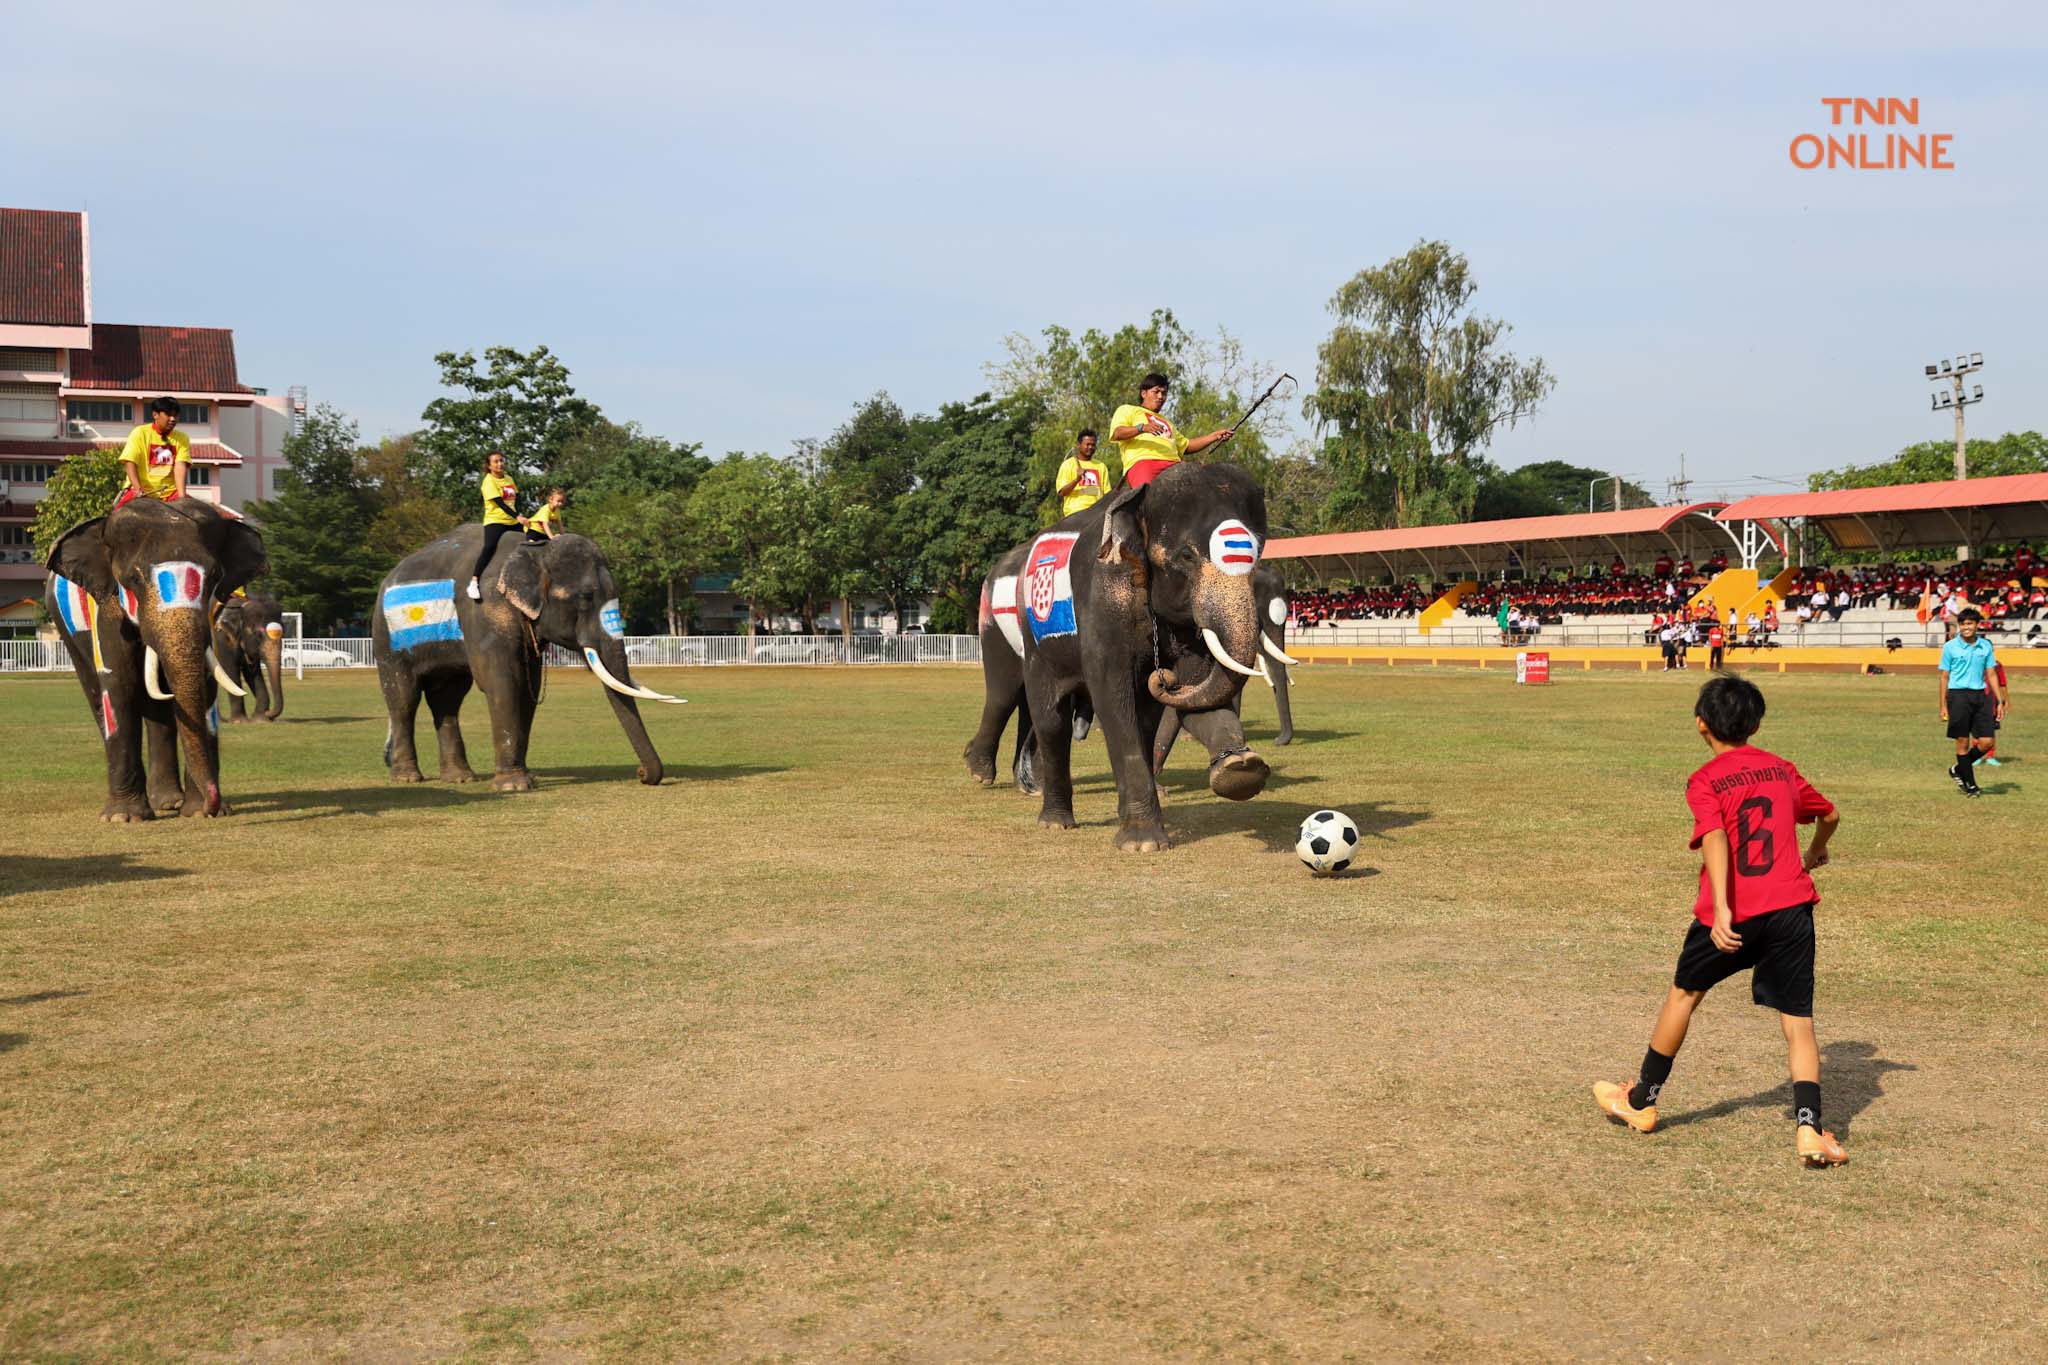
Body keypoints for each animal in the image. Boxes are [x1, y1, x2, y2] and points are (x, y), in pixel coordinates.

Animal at [42, 501, 268, 822]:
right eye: (133, 579)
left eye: (215, 577)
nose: (212, 803)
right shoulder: (107, 609)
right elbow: (119, 684)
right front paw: (123, 818)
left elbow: (206, 687)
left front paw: (200, 812)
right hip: (67, 631)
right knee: (99, 695)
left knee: (157, 709)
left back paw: (171, 802)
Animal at [210, 593, 286, 732]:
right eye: (258, 635)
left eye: (284, 634)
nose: (269, 713)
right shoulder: (221, 637)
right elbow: (230, 669)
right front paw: (239, 721)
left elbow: (252, 672)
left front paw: (260, 719)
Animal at [374, 527, 679, 794]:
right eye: (585, 597)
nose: (641, 774)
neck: (536, 550)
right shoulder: (485, 611)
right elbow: (504, 682)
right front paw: (514, 786)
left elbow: (527, 686)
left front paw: (525, 777)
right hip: (386, 636)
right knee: (404, 698)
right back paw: (407, 778)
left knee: (448, 699)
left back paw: (460, 778)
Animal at [966, 470, 1269, 855]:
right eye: (1186, 555)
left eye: (1259, 553)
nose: (1163, 678)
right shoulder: (1102, 595)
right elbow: (1112, 696)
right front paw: (1144, 843)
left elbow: (1196, 694)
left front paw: (1240, 769)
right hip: (1019, 631)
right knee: (1032, 708)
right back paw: (1040, 811)